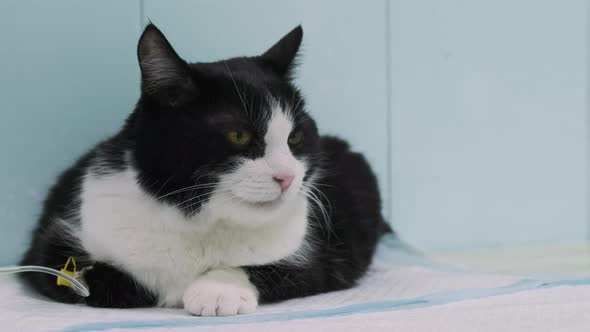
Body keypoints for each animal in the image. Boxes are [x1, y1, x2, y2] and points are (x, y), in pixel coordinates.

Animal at [20, 24, 394, 316]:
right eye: (239, 135)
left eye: (296, 137)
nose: (287, 177)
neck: (200, 218)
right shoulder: (53, 244)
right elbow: (85, 279)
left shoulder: (322, 258)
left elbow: (281, 269)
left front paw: (219, 288)